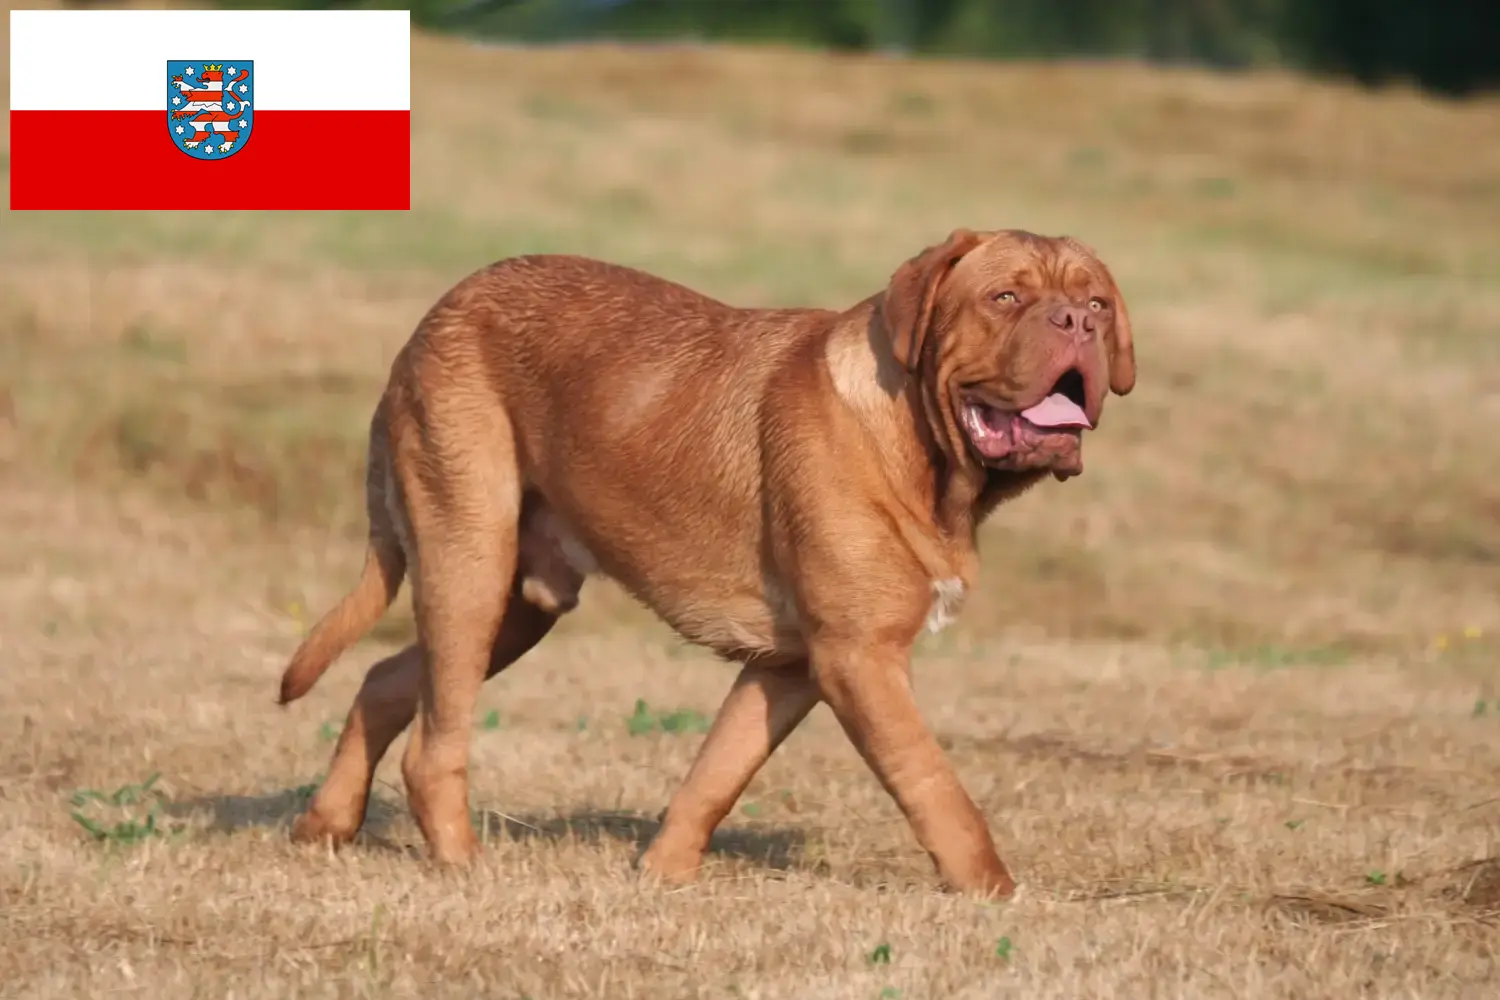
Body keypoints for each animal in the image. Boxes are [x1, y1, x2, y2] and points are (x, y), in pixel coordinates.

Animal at [276, 229, 1128, 899]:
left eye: (1098, 304)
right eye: (1006, 297)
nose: (1075, 321)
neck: (923, 450)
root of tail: (433, 317)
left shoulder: (789, 666)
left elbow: (718, 771)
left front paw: (662, 874)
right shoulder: (860, 657)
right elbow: (936, 787)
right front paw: (996, 893)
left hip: (517, 605)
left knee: (387, 678)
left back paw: (324, 826)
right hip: (471, 562)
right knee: (434, 742)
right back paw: (461, 864)